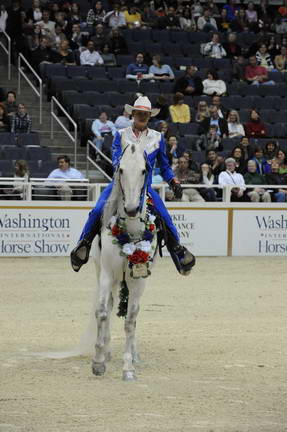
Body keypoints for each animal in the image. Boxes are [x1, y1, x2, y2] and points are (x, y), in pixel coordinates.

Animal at [93, 143, 158, 380]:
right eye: (120, 169)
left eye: (144, 170)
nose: (131, 209)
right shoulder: (106, 274)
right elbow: (103, 312)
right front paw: (98, 362)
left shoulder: (138, 279)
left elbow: (131, 320)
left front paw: (128, 367)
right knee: (111, 305)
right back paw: (107, 350)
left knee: (133, 315)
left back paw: (135, 355)